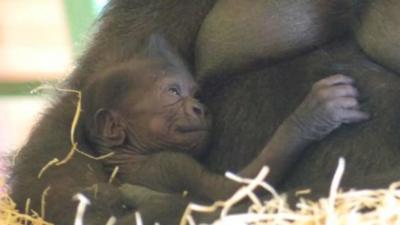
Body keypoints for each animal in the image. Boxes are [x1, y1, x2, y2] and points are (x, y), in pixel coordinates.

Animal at [79, 46, 370, 204]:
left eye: (195, 95)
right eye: (173, 92)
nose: (200, 109)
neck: (125, 155)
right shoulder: (172, 164)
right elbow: (230, 192)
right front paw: (312, 116)